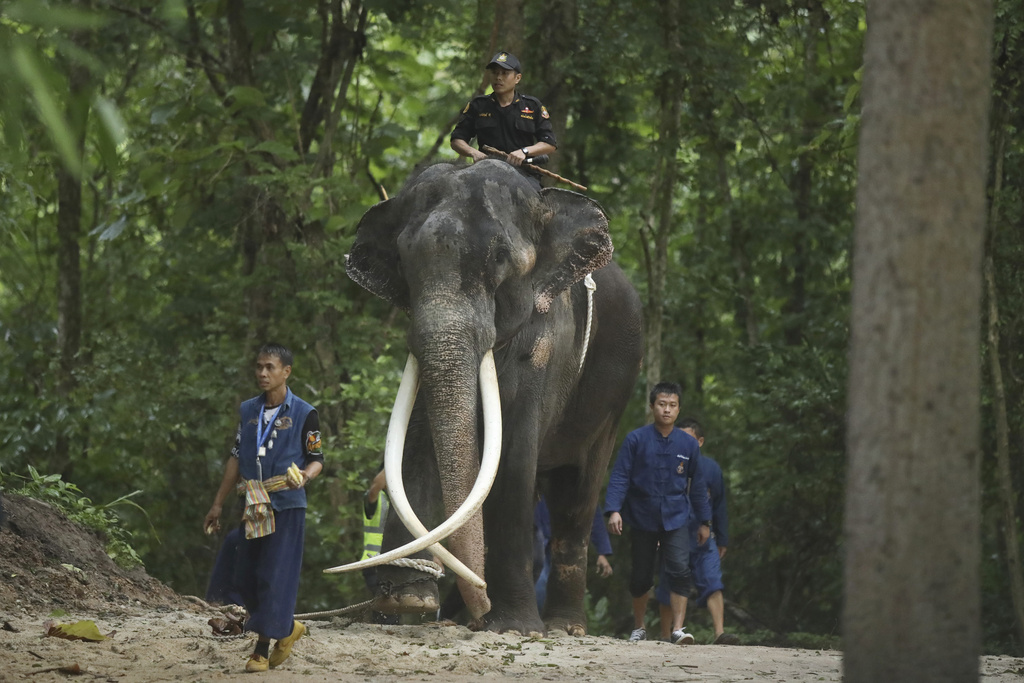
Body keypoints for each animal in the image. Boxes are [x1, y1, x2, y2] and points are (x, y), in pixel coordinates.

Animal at [338, 159, 643, 635]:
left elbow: (515, 453)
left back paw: (564, 627)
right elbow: (416, 443)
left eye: (500, 258)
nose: (479, 608)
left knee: (577, 494)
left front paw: (515, 627)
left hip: (615, 396)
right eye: (403, 260)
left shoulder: (548, 341)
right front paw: (410, 600)